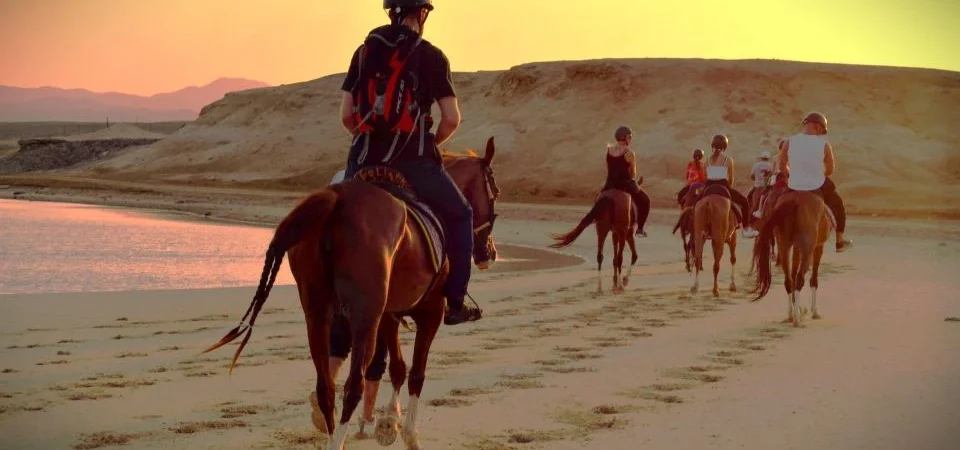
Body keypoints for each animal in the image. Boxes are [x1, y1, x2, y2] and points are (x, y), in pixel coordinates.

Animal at [202, 137, 502, 450]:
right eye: (495, 192)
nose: (490, 254)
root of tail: (337, 199)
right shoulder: (428, 313)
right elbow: (415, 373)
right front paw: (407, 432)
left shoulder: (388, 315)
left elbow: (396, 367)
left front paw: (388, 423)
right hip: (364, 319)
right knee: (353, 385)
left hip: (317, 313)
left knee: (326, 384)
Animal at [748, 190, 828, 326]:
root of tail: (793, 201)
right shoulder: (818, 247)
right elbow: (813, 279)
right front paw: (813, 311)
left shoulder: (795, 247)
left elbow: (793, 273)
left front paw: (800, 308)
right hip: (807, 250)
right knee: (800, 279)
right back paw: (797, 319)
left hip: (784, 247)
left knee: (788, 280)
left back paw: (791, 315)